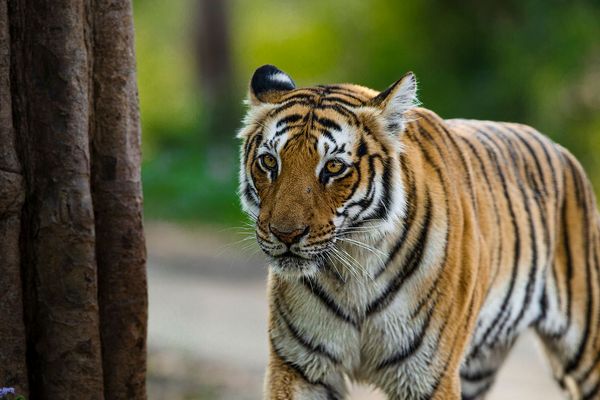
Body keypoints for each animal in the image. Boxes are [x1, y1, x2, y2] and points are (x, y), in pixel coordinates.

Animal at [236, 64, 600, 398]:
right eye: (269, 162)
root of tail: (560, 149)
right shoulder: (299, 368)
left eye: (334, 167)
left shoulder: (428, 375)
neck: (352, 271)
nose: (285, 234)